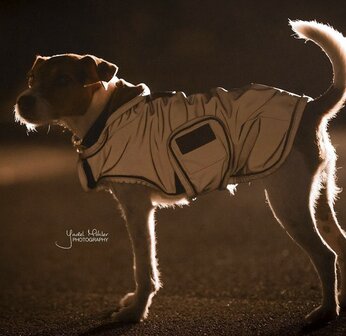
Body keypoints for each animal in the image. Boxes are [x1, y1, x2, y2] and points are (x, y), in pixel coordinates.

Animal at [14, 20, 346, 328]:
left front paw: (136, 312)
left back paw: (326, 312)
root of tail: (310, 107)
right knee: (339, 243)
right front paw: (135, 304)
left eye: (63, 80)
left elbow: (143, 267)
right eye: (32, 79)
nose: (22, 101)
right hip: (318, 199)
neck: (104, 115)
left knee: (326, 255)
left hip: (288, 202)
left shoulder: (138, 209)